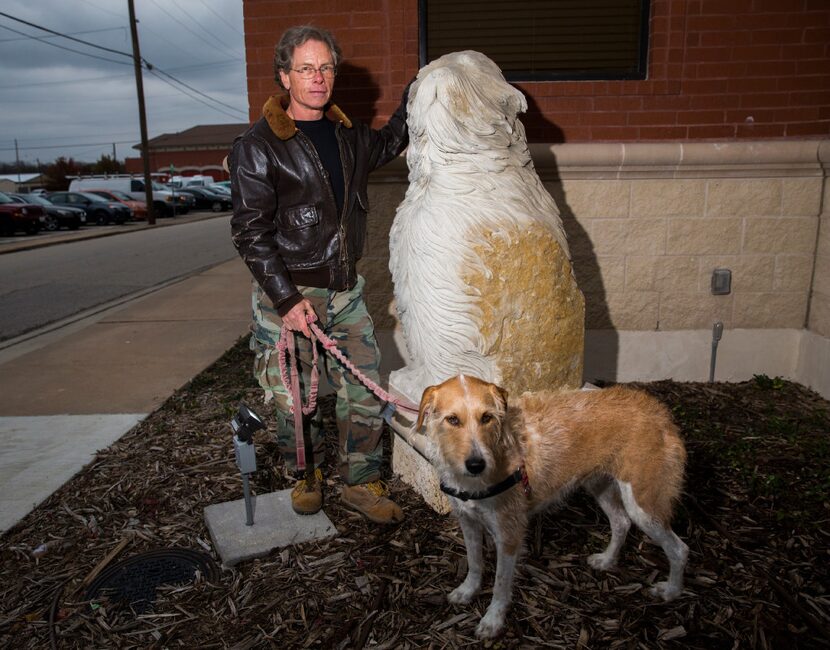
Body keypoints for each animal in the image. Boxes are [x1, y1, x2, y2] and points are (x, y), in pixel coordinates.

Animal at [416, 372, 688, 636]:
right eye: (452, 420)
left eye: (487, 418)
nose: (476, 464)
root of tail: (659, 411)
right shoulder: (469, 522)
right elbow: (474, 563)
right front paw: (467, 591)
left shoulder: (510, 535)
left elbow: (501, 584)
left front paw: (493, 620)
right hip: (599, 485)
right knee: (621, 522)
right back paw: (607, 561)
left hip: (644, 506)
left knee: (679, 549)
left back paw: (670, 591)